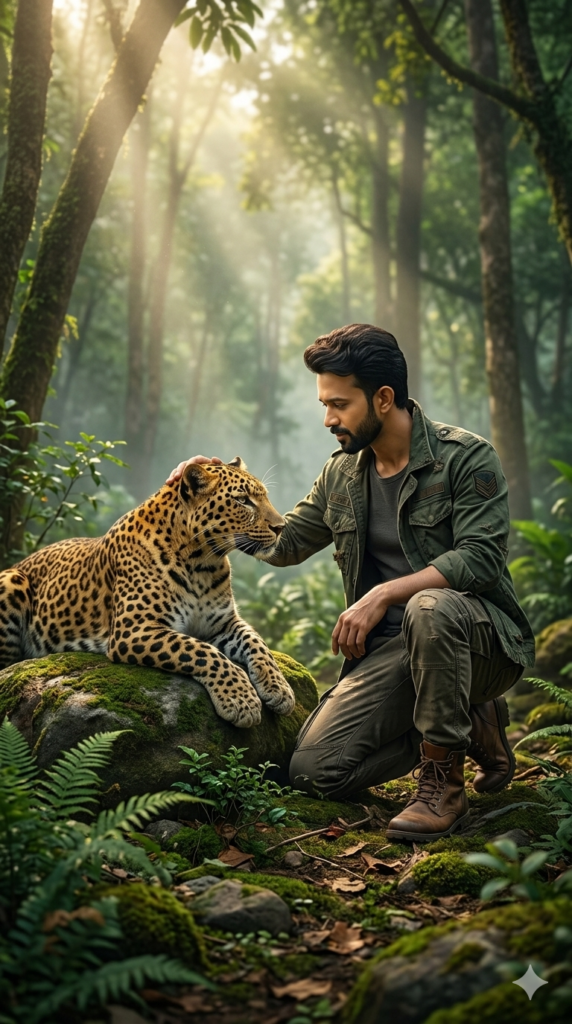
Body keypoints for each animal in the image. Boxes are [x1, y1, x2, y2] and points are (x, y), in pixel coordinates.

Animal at [0, 457, 296, 728]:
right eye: (243, 500)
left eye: (264, 496)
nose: (281, 527)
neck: (203, 563)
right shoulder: (134, 629)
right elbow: (201, 651)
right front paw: (240, 698)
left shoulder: (223, 623)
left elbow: (256, 642)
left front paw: (279, 688)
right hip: (11, 580)